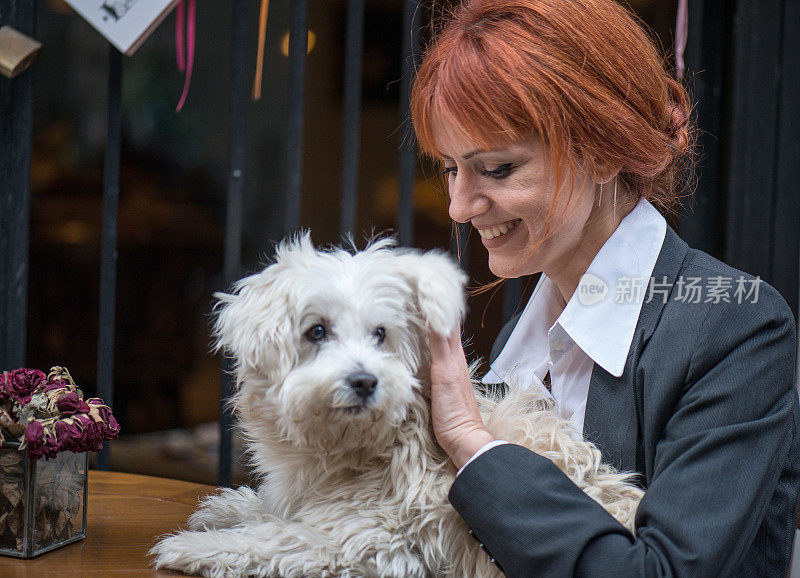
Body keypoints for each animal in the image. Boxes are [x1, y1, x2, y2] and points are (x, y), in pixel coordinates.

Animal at [152, 234, 644, 576]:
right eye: (316, 331)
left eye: (380, 334)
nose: (365, 381)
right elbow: (273, 512)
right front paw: (227, 510)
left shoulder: (368, 538)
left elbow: (276, 539)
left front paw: (193, 547)